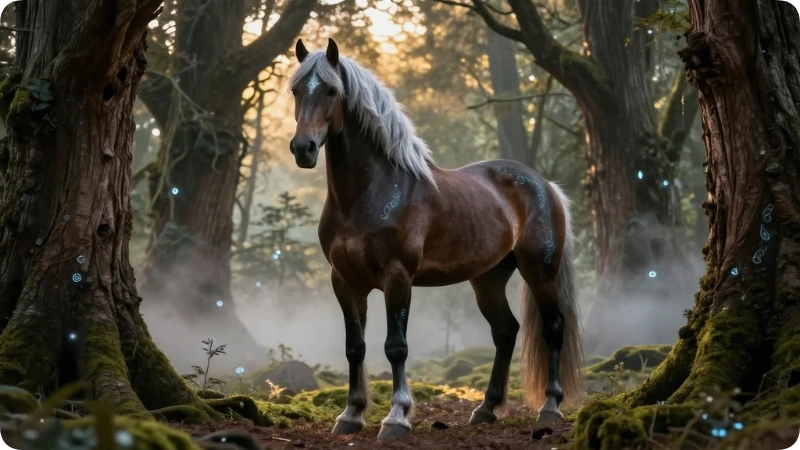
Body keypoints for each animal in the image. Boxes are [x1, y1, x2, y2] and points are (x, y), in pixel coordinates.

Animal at [288, 38, 583, 440]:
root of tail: (546, 185)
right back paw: (486, 409)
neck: (367, 194)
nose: (303, 148)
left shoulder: (398, 277)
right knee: (506, 331)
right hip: (488, 279)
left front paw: (396, 417)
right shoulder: (345, 281)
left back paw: (550, 407)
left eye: (332, 91)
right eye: (296, 90)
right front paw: (351, 414)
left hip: (540, 272)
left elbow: (395, 347)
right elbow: (355, 347)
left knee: (553, 328)